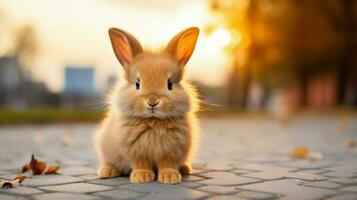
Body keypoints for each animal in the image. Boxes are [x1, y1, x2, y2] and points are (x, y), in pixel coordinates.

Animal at [94, 26, 200, 184]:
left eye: (169, 84)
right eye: (137, 84)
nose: (152, 102)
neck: (153, 121)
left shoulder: (171, 151)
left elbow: (167, 163)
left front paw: (170, 177)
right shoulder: (137, 151)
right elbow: (142, 163)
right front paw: (142, 177)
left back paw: (185, 169)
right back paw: (107, 171)